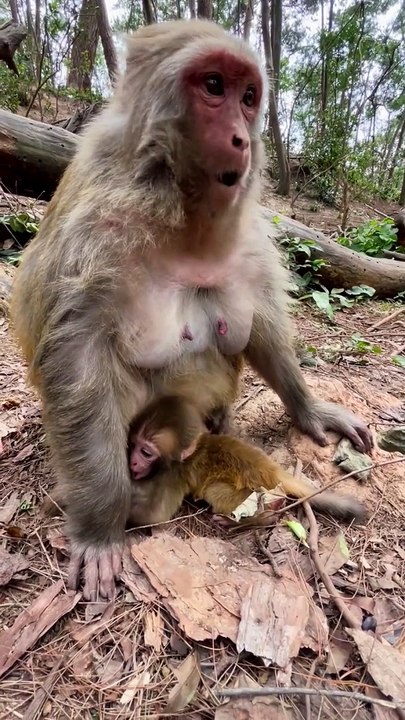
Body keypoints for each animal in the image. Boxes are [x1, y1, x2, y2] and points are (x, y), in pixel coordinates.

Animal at [126, 394, 367, 526]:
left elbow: (154, 514)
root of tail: (272, 470)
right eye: (134, 444)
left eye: (146, 452)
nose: (133, 462)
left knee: (217, 491)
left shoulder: (176, 474)